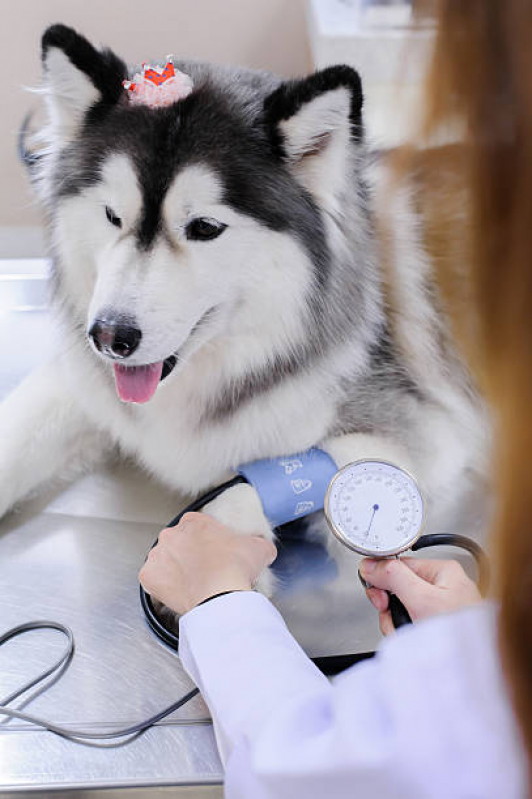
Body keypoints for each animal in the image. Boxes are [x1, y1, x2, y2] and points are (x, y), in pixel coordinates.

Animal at [2, 25, 488, 580]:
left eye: (204, 227)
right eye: (111, 215)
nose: (109, 337)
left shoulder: (423, 431)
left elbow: (249, 485)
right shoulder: (83, 386)